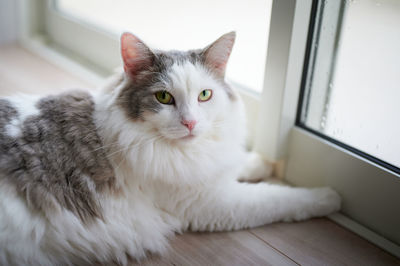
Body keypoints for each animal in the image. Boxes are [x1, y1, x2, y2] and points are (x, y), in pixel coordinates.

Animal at [0, 32, 340, 264]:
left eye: (205, 95)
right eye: (163, 98)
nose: (190, 122)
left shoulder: (213, 172)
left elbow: (241, 163)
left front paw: (265, 163)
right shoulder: (212, 202)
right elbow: (279, 198)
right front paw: (328, 197)